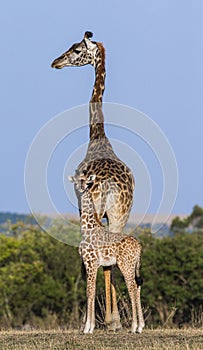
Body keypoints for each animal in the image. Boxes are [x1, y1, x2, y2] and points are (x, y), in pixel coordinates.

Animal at [51, 31, 135, 330]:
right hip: (121, 213)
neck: (97, 135)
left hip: (100, 209)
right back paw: (117, 321)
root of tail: (109, 187)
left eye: (77, 50)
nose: (56, 62)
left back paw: (109, 320)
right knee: (114, 254)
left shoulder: (82, 207)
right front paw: (113, 319)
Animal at [69, 171, 145, 334]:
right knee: (137, 286)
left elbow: (90, 292)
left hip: (126, 265)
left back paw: (134, 327)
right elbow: (91, 291)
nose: (82, 187)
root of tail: (139, 247)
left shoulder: (90, 263)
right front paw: (89, 326)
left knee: (132, 288)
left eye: (86, 181)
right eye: (77, 181)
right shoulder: (91, 265)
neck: (87, 229)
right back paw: (140, 326)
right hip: (133, 266)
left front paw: (88, 328)